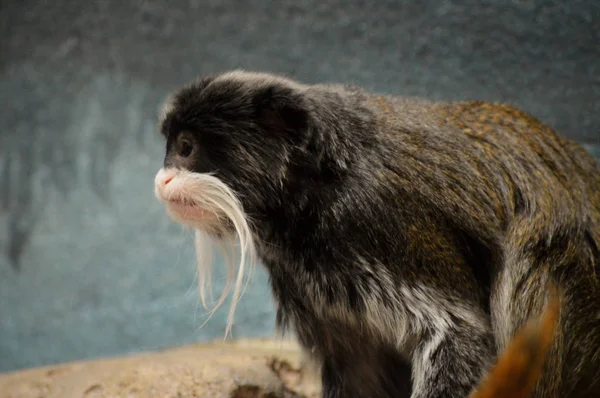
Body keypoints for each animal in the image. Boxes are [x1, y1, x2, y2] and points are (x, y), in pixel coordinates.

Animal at [154, 70, 600, 396]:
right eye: (170, 149)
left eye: (185, 147)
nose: (161, 180)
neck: (315, 191)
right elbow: (358, 368)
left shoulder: (383, 220)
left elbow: (458, 334)